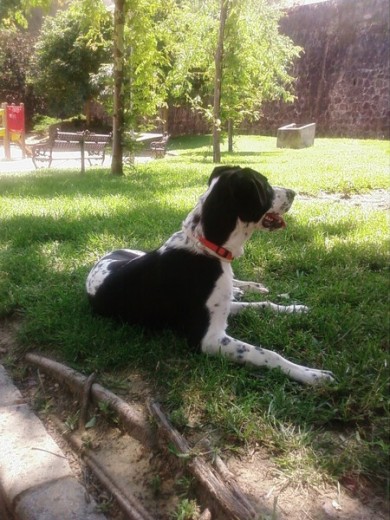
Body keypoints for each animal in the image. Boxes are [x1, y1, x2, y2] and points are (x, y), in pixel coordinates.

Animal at [87, 167, 334, 386]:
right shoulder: (209, 338)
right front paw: (313, 375)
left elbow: (263, 304)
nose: (293, 193)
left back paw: (249, 286)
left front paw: (295, 309)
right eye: (265, 186)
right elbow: (266, 353)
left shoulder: (222, 307)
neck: (206, 248)